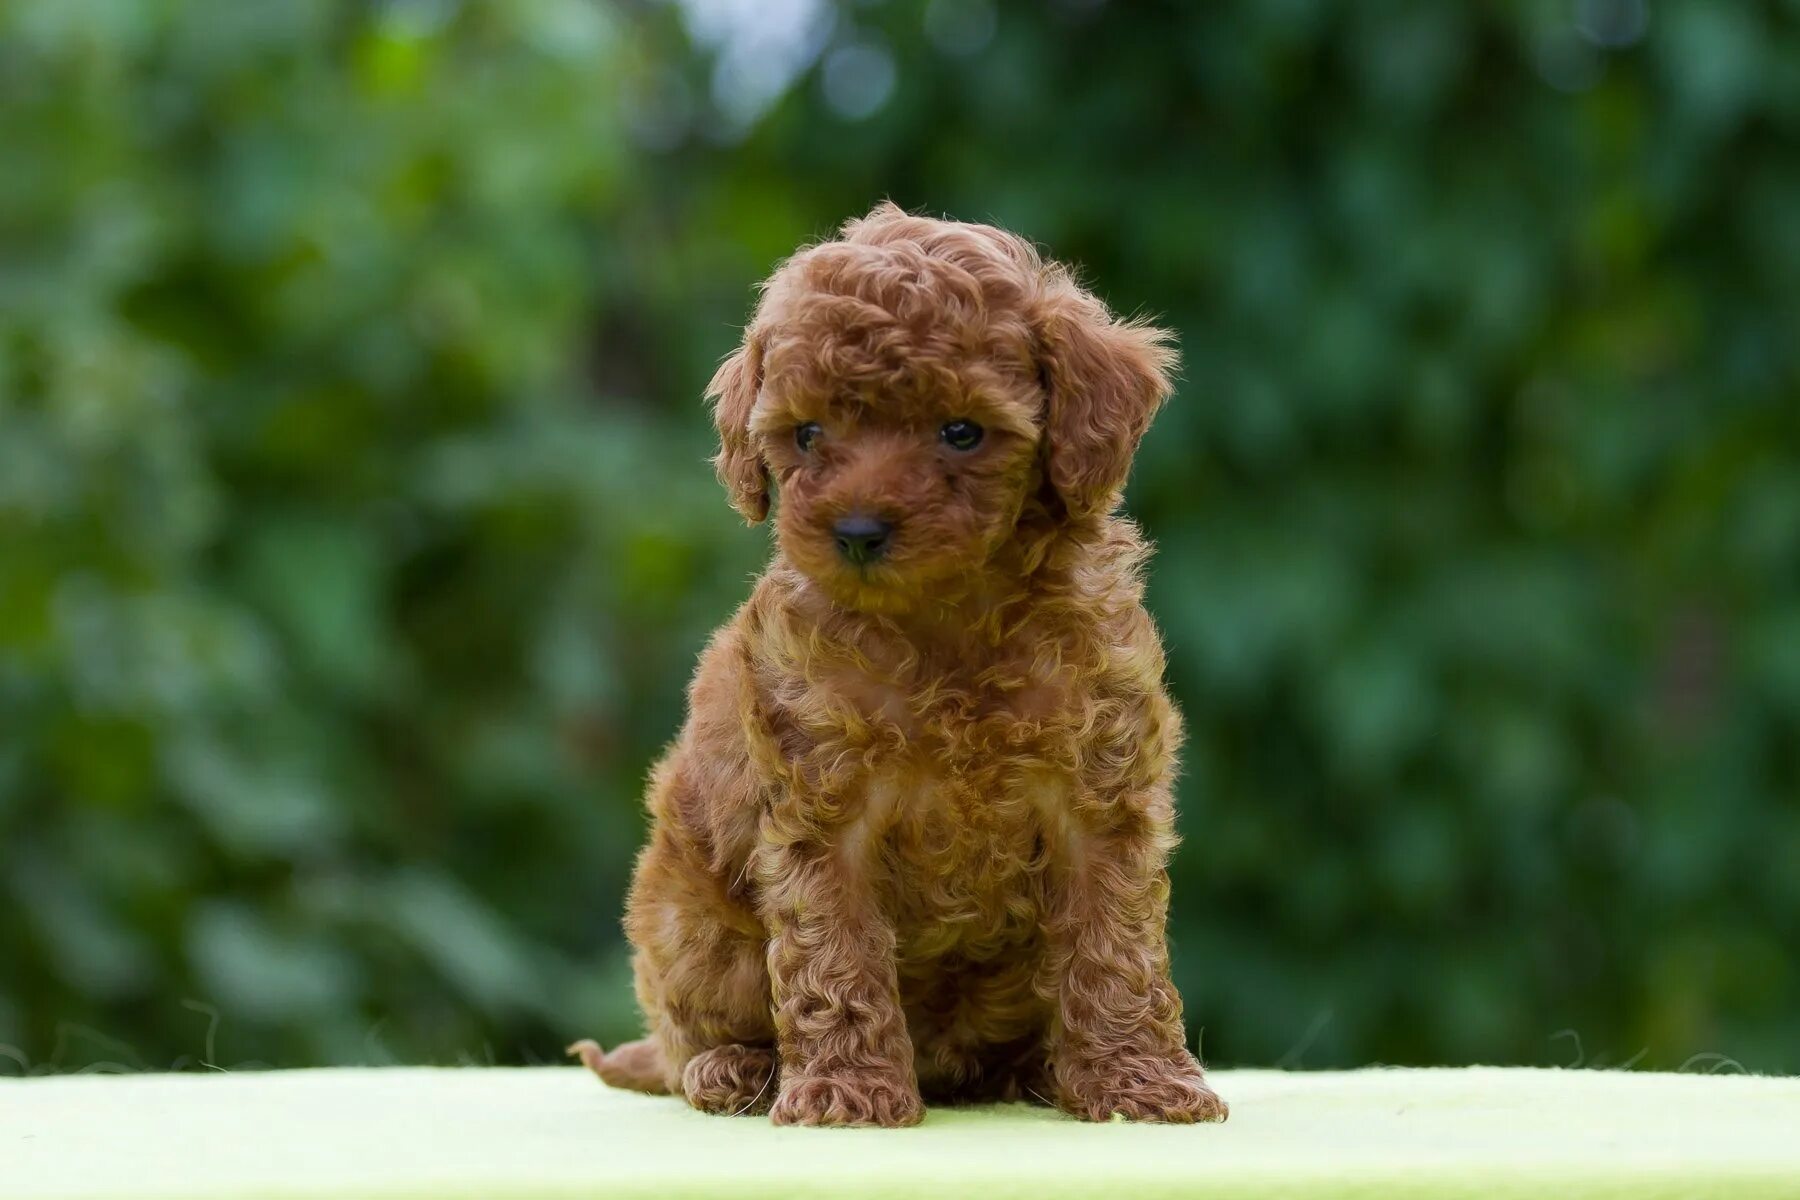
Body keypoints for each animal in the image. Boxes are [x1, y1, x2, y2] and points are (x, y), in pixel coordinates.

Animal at [576, 201, 1224, 1129]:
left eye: (962, 431)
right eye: (808, 434)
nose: (856, 531)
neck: (947, 619)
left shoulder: (1098, 796)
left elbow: (1116, 948)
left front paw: (1140, 1080)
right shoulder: (822, 807)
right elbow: (833, 953)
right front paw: (847, 1091)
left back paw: (1032, 1069)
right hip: (688, 924)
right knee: (681, 1043)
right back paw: (736, 1070)